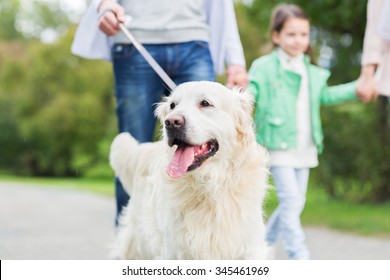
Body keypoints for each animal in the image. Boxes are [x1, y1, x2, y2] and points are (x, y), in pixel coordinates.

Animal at [109, 81, 268, 260]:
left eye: (205, 103)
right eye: (172, 105)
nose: (171, 122)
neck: (208, 186)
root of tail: (145, 149)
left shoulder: (249, 248)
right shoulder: (174, 250)